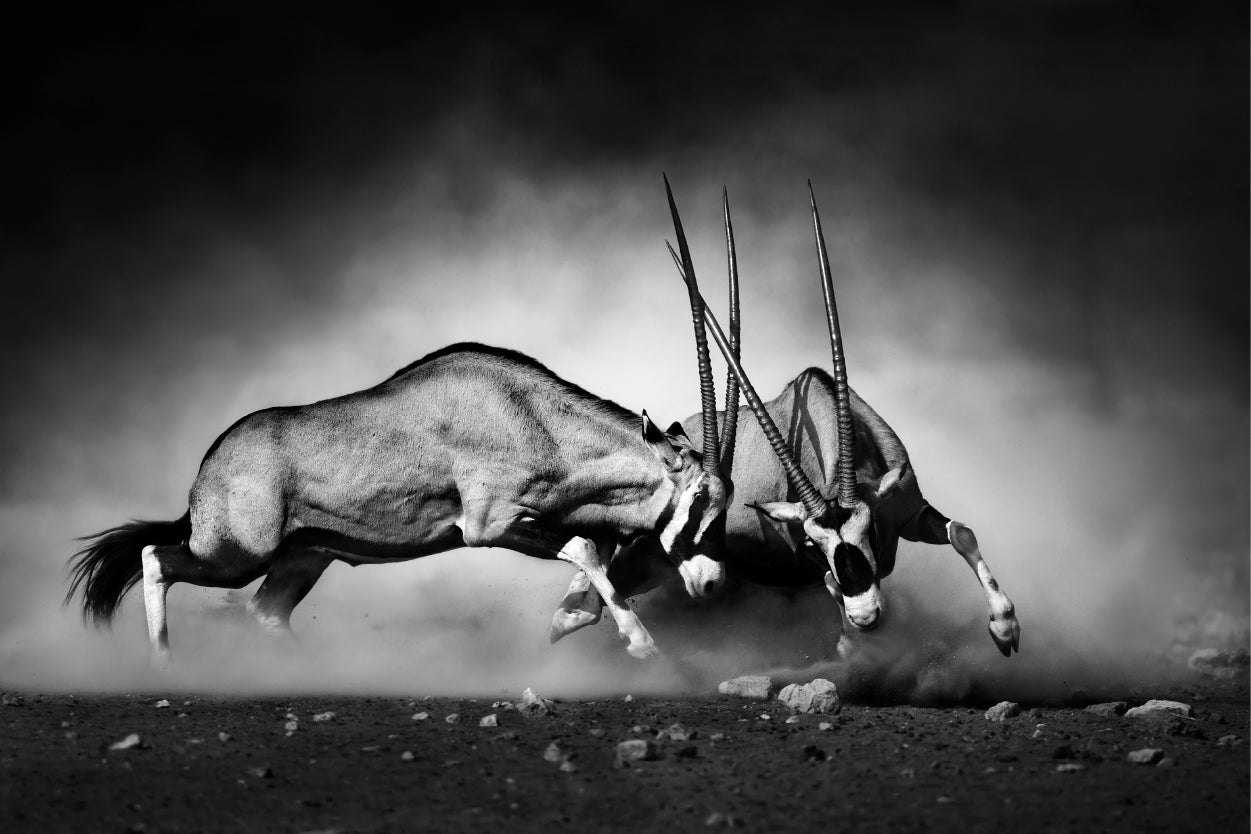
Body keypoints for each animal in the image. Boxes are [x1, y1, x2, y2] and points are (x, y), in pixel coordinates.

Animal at [66, 279, 735, 661]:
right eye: (701, 500)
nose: (712, 583)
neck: (531, 415)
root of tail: (207, 470)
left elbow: (594, 548)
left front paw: (576, 619)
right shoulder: (489, 525)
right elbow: (587, 547)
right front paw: (640, 642)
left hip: (303, 557)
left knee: (266, 612)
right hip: (236, 554)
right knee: (156, 558)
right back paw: (164, 664)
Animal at [551, 181, 1021, 658]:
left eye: (870, 530)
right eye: (814, 543)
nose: (867, 616)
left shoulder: (909, 511)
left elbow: (962, 533)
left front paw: (1005, 628)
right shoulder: (813, 561)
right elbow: (832, 585)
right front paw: (850, 646)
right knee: (579, 609)